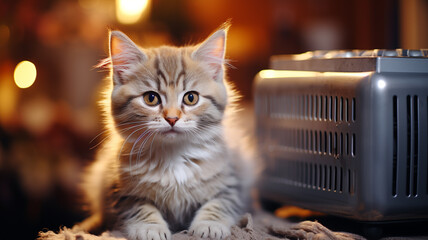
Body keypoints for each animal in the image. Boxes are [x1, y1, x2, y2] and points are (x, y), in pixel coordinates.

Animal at [76, 23, 251, 240]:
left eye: (191, 98)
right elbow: (139, 207)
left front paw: (209, 225)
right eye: (151, 98)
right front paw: (150, 228)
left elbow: (220, 203)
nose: (172, 118)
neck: (173, 157)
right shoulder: (120, 189)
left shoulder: (233, 182)